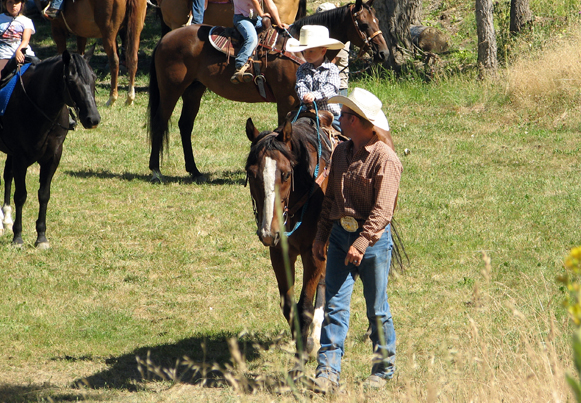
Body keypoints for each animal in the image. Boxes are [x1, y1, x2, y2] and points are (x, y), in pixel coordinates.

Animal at [0, 51, 100, 249]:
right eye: (71, 80)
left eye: (93, 77)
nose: (93, 118)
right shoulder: (21, 157)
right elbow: (21, 195)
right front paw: (18, 237)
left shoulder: (52, 157)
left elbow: (44, 195)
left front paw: (41, 237)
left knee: (7, 176)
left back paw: (6, 219)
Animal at [147, 0, 388, 181]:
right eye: (363, 24)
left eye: (376, 21)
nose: (383, 53)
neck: (297, 50)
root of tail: (165, 39)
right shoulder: (286, 99)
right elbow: (284, 127)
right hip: (171, 89)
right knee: (159, 121)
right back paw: (155, 170)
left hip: (194, 89)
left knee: (185, 125)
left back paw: (194, 170)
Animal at [245, 113, 334, 366]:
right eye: (251, 174)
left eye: (285, 174)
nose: (267, 232)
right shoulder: (279, 252)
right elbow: (289, 306)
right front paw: (301, 342)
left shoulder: (314, 254)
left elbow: (304, 306)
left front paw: (303, 353)